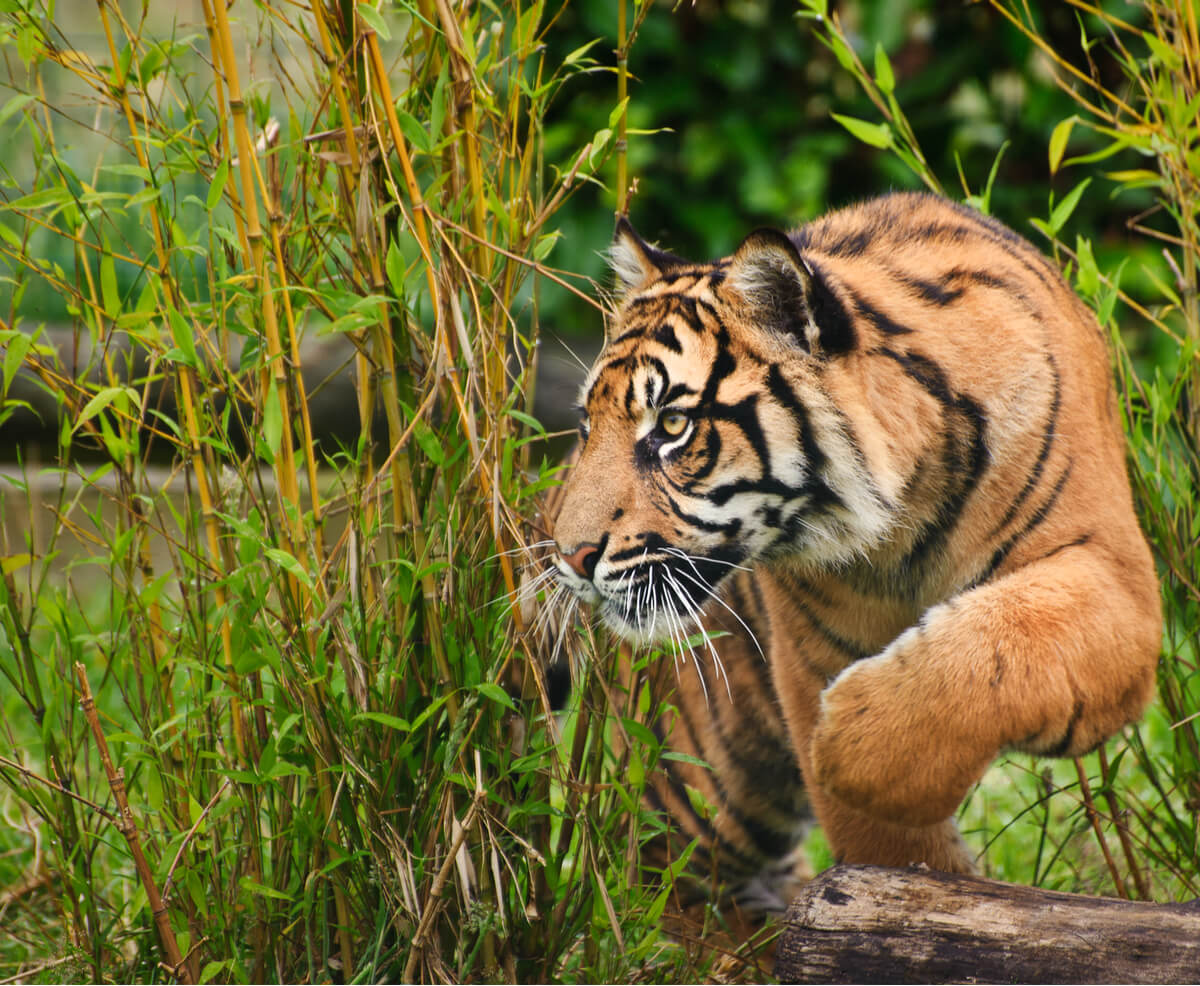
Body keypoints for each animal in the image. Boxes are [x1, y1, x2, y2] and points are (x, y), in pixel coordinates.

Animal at [528, 190, 1161, 921]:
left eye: (673, 426)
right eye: (585, 425)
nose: (570, 557)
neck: (903, 516)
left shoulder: (1113, 577)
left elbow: (999, 642)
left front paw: (848, 747)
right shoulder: (811, 658)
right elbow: (884, 847)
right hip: (703, 784)